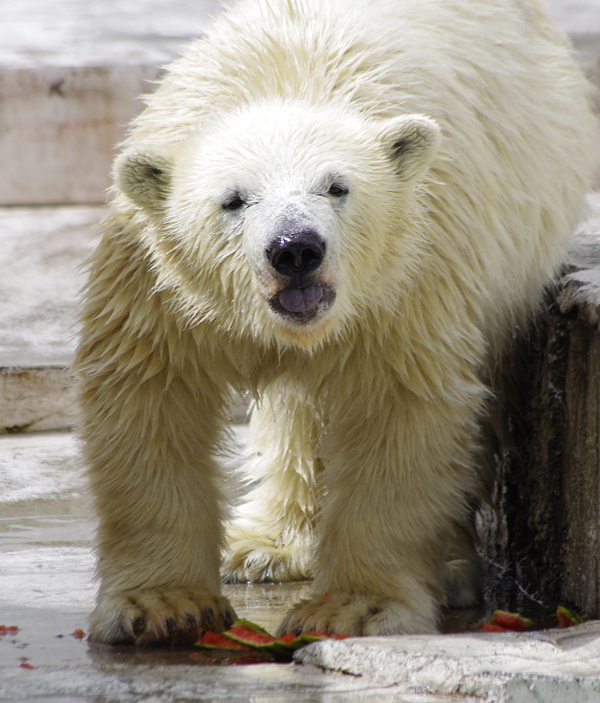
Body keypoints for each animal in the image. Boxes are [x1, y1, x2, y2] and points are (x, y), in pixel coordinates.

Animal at [77, 0, 596, 644]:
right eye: (233, 199)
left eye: (337, 186)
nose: (296, 249)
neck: (284, 80)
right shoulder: (157, 281)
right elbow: (151, 401)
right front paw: (163, 605)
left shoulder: (406, 274)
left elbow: (396, 413)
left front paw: (354, 608)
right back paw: (268, 546)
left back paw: (450, 566)